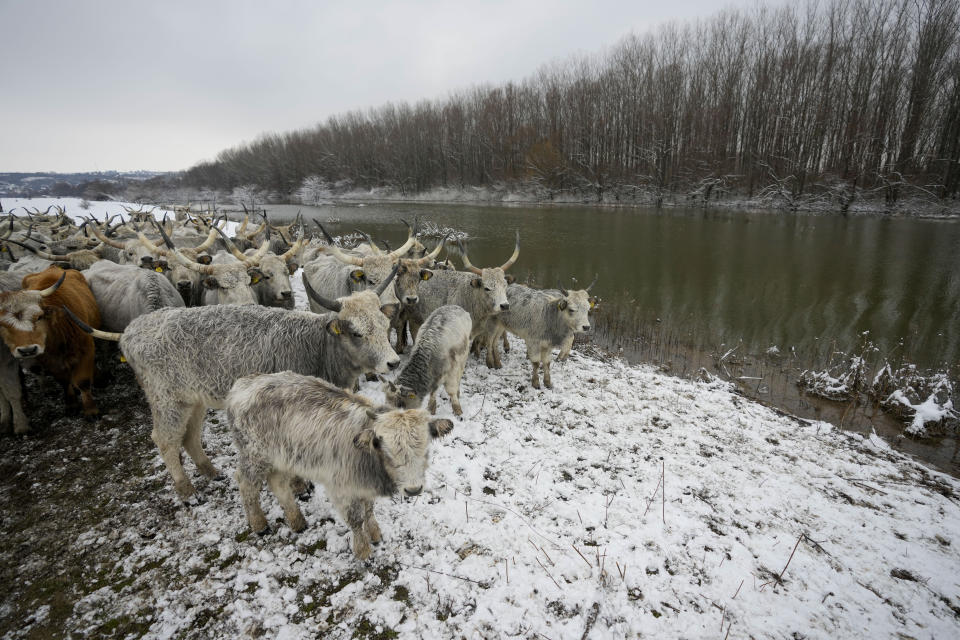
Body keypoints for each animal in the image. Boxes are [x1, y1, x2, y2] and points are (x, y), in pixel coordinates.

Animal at [226, 372, 454, 556]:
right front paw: (362, 550)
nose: (413, 490)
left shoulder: (363, 487)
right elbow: (356, 519)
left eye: (426, 448)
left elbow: (369, 510)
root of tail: (244, 383)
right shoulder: (342, 489)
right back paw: (259, 524)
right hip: (254, 457)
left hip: (280, 459)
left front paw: (375, 534)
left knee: (278, 484)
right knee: (246, 485)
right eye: (386, 451)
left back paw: (297, 521)